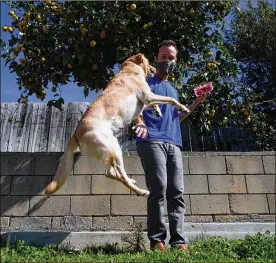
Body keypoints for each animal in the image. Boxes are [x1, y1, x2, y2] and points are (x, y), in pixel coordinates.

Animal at [44, 54, 190, 198]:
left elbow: (155, 105)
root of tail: (75, 134)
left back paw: (132, 181)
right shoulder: (148, 96)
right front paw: (183, 108)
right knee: (119, 174)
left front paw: (158, 111)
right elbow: (170, 99)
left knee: (109, 173)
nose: (154, 69)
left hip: (110, 151)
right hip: (114, 148)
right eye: (149, 62)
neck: (130, 70)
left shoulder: (145, 102)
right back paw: (140, 191)